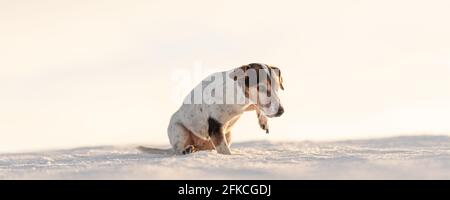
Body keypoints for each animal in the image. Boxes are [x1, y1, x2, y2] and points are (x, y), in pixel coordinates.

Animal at [139, 63, 284, 155]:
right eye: (263, 88)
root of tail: (199, 146)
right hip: (179, 130)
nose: (281, 111)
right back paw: (185, 150)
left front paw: (263, 121)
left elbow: (258, 106)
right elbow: (225, 151)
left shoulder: (248, 105)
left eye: (277, 88)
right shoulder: (215, 126)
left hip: (228, 135)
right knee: (177, 148)